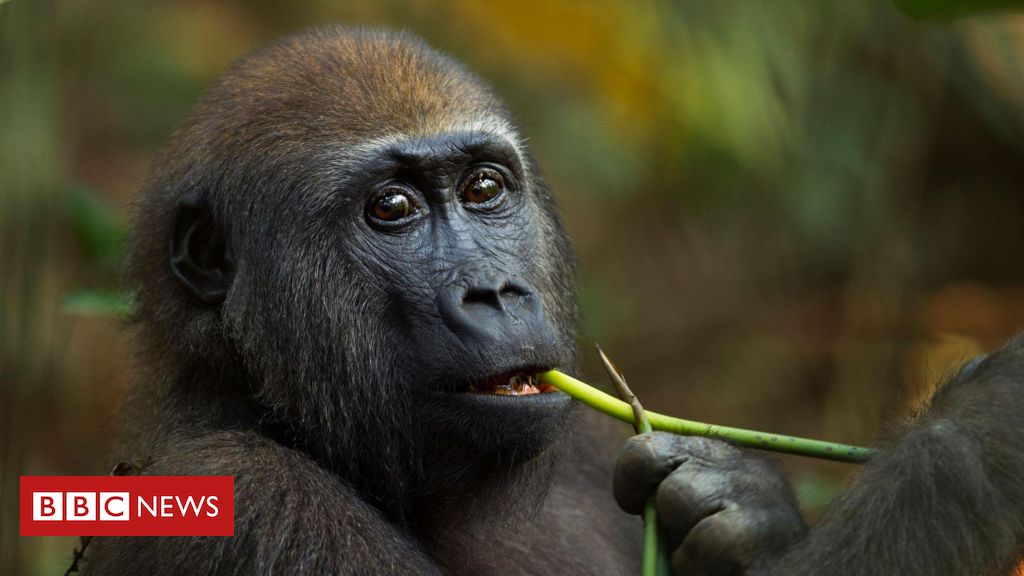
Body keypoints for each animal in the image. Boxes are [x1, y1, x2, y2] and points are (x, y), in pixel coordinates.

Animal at [86, 25, 1024, 573]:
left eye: (484, 189)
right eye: (391, 209)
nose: (496, 291)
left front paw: (739, 502)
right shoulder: (240, 495)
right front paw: (979, 433)